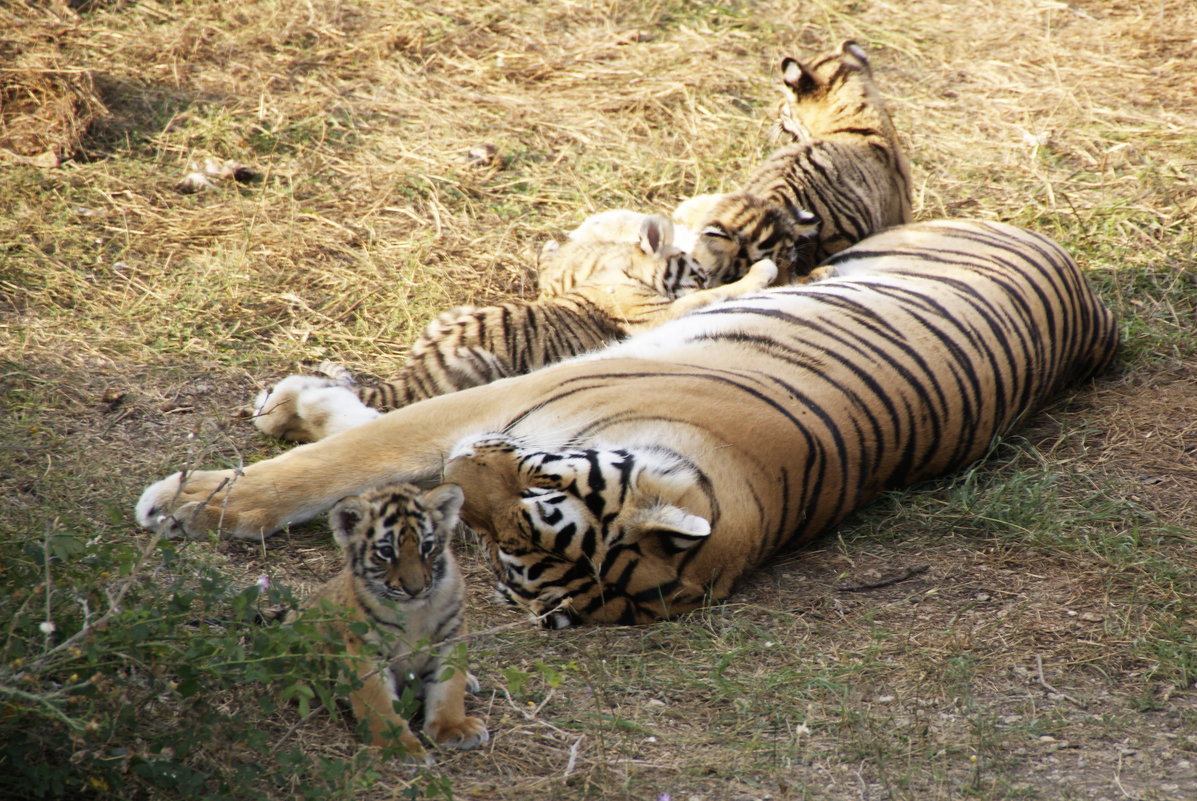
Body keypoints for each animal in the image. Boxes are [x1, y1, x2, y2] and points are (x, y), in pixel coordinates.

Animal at [252, 211, 775, 440]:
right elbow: (710, 298)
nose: (707, 272)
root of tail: (407, 379)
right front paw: (761, 272)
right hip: (480, 366)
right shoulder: (653, 314)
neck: (621, 269)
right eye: (698, 272)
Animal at [287, 478, 488, 761]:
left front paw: (453, 727)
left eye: (427, 547)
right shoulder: (366, 650)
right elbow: (378, 702)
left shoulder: (450, 636)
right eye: (386, 552)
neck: (414, 612)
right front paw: (399, 746)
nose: (415, 589)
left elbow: (448, 687)